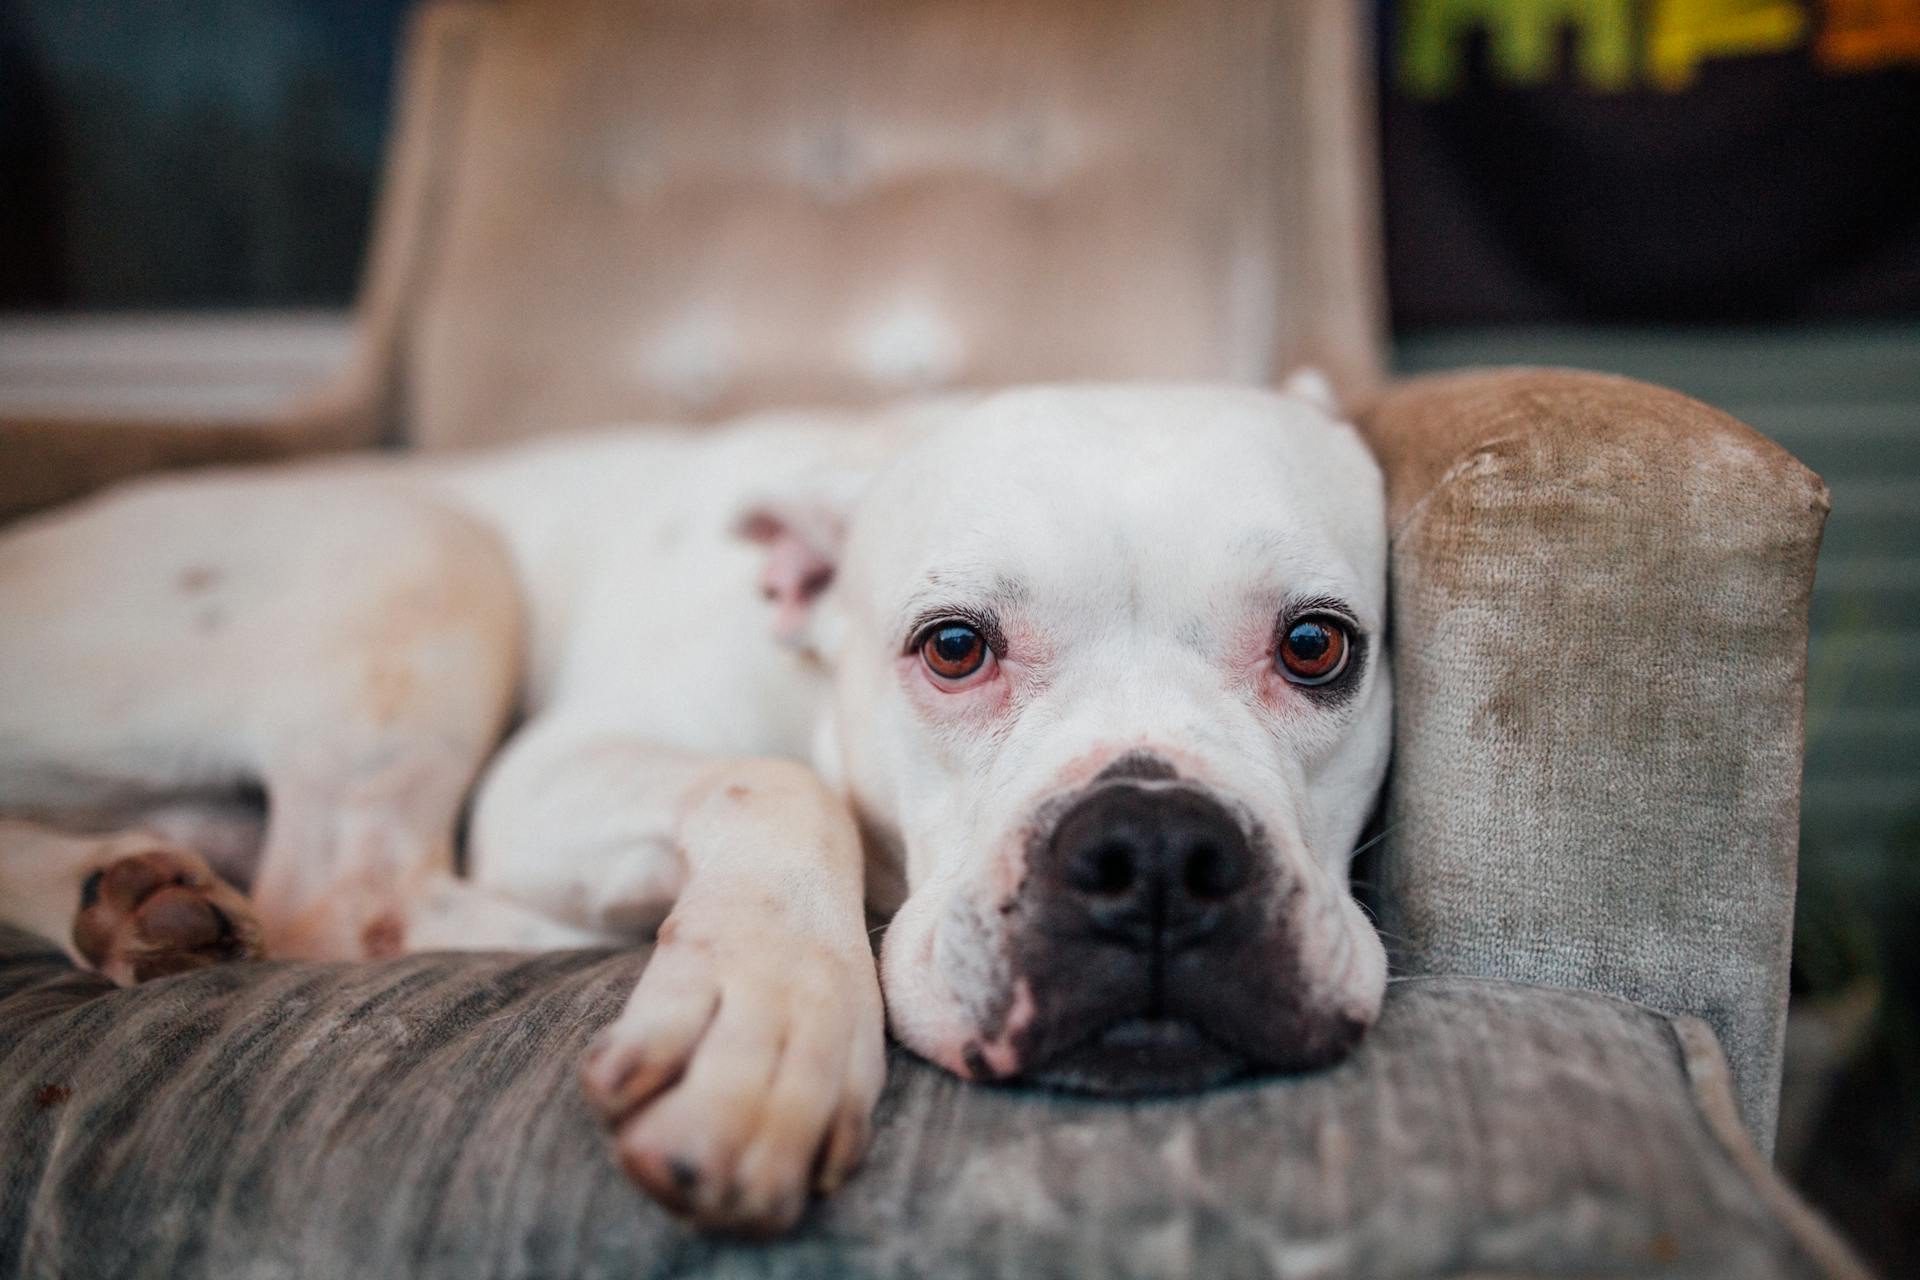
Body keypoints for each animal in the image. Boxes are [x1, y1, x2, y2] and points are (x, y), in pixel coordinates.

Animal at [0, 378, 1382, 1228]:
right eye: (953, 646)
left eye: (1318, 644)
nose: (1153, 851)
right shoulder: (547, 776)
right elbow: (777, 781)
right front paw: (769, 1009)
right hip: (421, 549)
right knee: (341, 890)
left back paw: (128, 891)